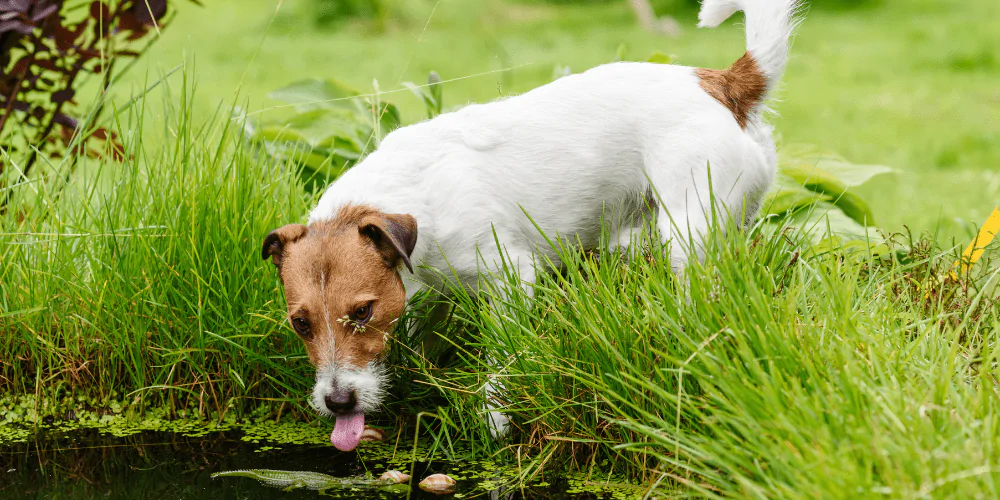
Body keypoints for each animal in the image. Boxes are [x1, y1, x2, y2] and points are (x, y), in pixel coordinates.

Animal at [262, 0, 800, 454]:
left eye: (362, 312)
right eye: (300, 323)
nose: (338, 404)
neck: (410, 192)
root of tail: (721, 82)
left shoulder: (512, 277)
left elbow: (501, 357)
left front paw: (494, 417)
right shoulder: (421, 289)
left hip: (687, 235)